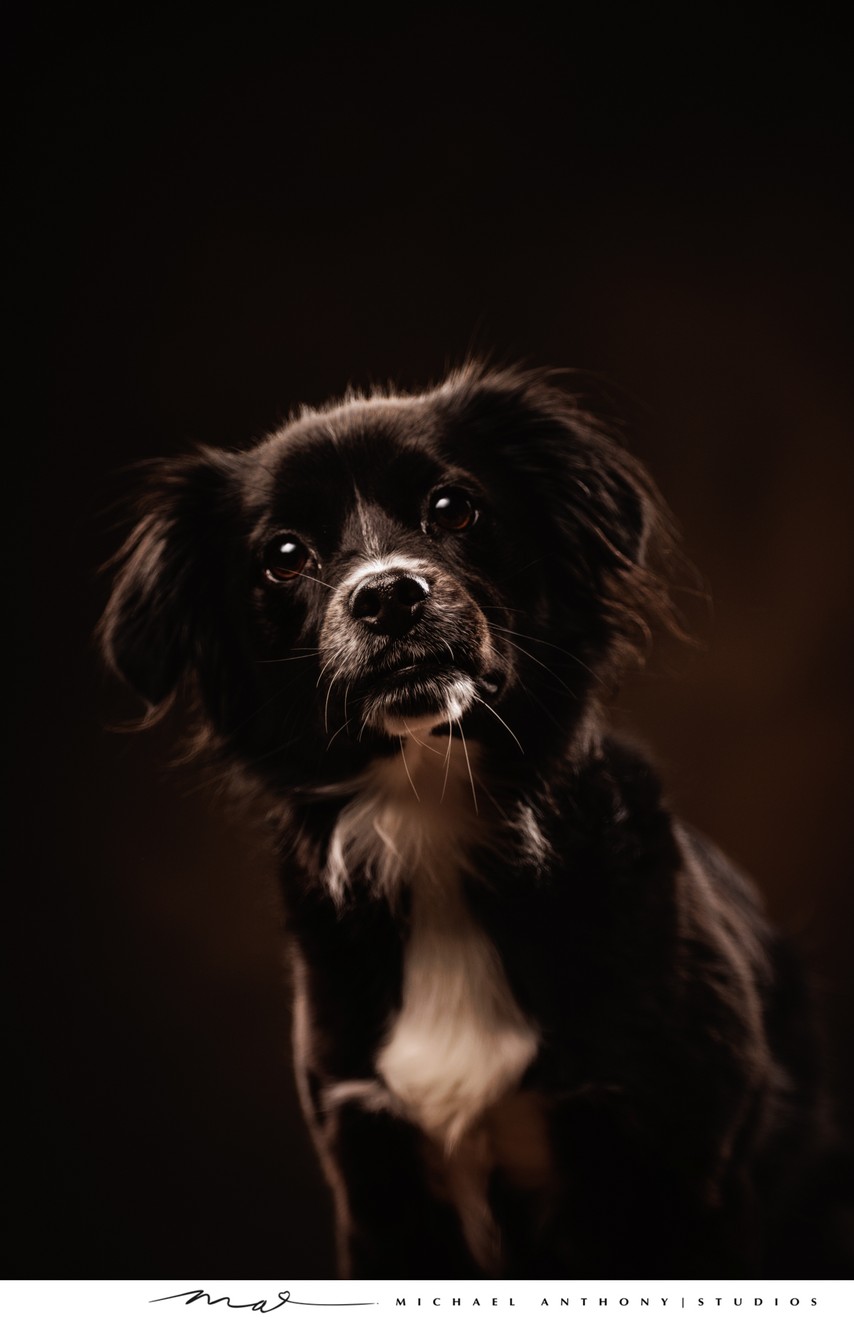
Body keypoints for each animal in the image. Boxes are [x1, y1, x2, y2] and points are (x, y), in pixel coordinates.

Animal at [98, 362, 851, 1279]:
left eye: (453, 508)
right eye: (283, 557)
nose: (389, 594)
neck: (428, 806)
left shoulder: (674, 1162)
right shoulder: (377, 1177)